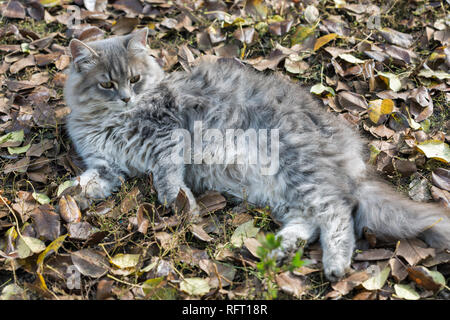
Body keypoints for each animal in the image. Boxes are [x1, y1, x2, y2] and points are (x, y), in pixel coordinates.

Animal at [64, 29, 450, 280]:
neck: (109, 121)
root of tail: (351, 154)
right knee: (310, 222)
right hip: (281, 191)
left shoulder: (168, 135)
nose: (126, 98)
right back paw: (277, 249)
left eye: (134, 79)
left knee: (337, 212)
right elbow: (82, 184)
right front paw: (67, 201)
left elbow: (167, 177)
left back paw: (335, 264)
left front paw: (179, 205)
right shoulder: (107, 165)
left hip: (300, 169)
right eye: (107, 84)